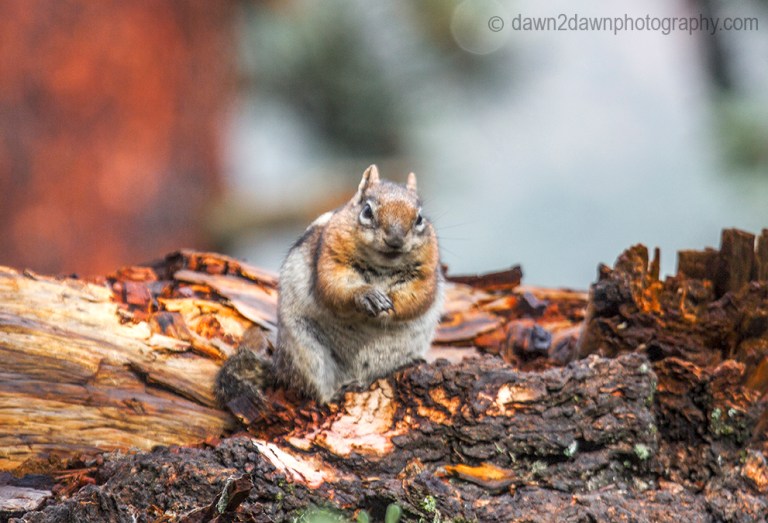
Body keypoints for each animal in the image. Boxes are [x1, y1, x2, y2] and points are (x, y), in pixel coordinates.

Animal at [215, 165, 444, 405]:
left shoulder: (426, 273)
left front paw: (391, 305)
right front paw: (367, 295)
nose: (395, 240)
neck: (383, 267)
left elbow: (418, 298)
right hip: (308, 353)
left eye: (419, 218)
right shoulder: (330, 256)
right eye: (367, 211)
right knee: (317, 390)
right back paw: (336, 393)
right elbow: (335, 286)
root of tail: (281, 367)